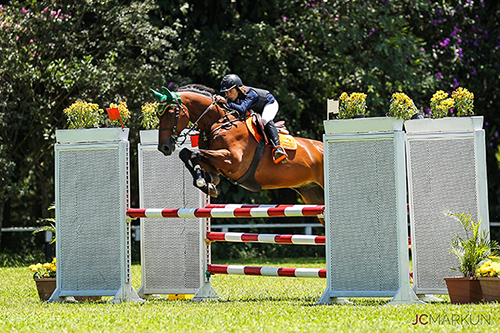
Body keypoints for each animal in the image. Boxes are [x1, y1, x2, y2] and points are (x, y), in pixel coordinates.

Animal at [152, 83, 324, 223]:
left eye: (171, 113)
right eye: (158, 115)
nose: (164, 147)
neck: (219, 123)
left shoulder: (233, 161)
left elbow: (195, 153)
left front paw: (204, 181)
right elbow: (187, 154)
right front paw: (208, 183)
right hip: (312, 193)